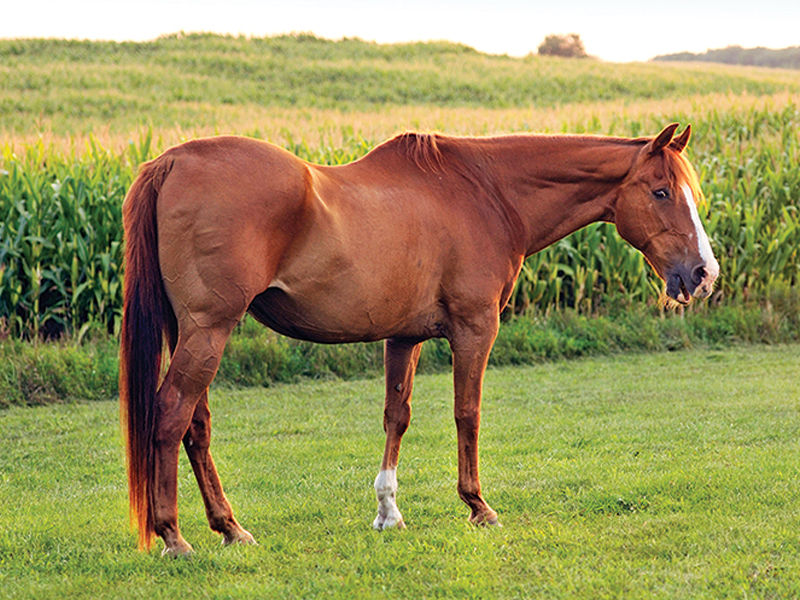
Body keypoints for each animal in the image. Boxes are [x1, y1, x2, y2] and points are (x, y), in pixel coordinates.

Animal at [120, 123, 719, 555]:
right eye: (662, 191)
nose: (703, 274)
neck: (487, 193)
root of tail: (171, 162)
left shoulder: (403, 337)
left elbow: (396, 416)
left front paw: (388, 511)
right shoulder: (475, 328)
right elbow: (467, 413)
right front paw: (478, 506)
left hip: (191, 332)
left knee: (195, 425)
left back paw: (230, 528)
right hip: (209, 330)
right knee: (171, 414)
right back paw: (174, 536)